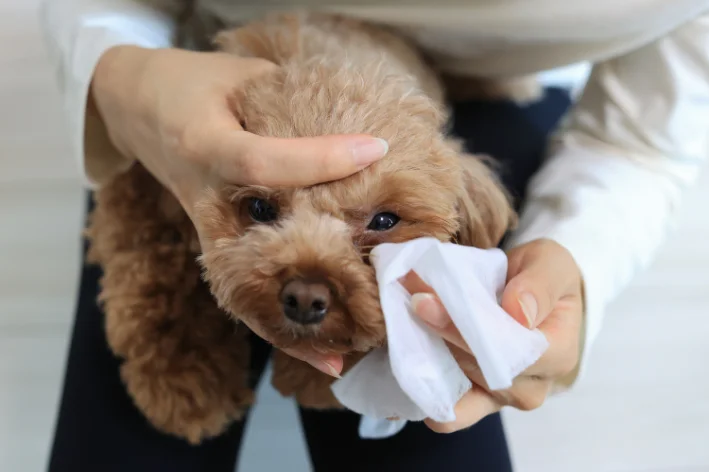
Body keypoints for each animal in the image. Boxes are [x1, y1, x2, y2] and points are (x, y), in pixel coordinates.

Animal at [85, 12, 516, 446]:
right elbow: (156, 283)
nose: (306, 298)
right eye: (260, 208)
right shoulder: (147, 195)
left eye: (384, 221)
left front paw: (311, 381)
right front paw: (187, 384)